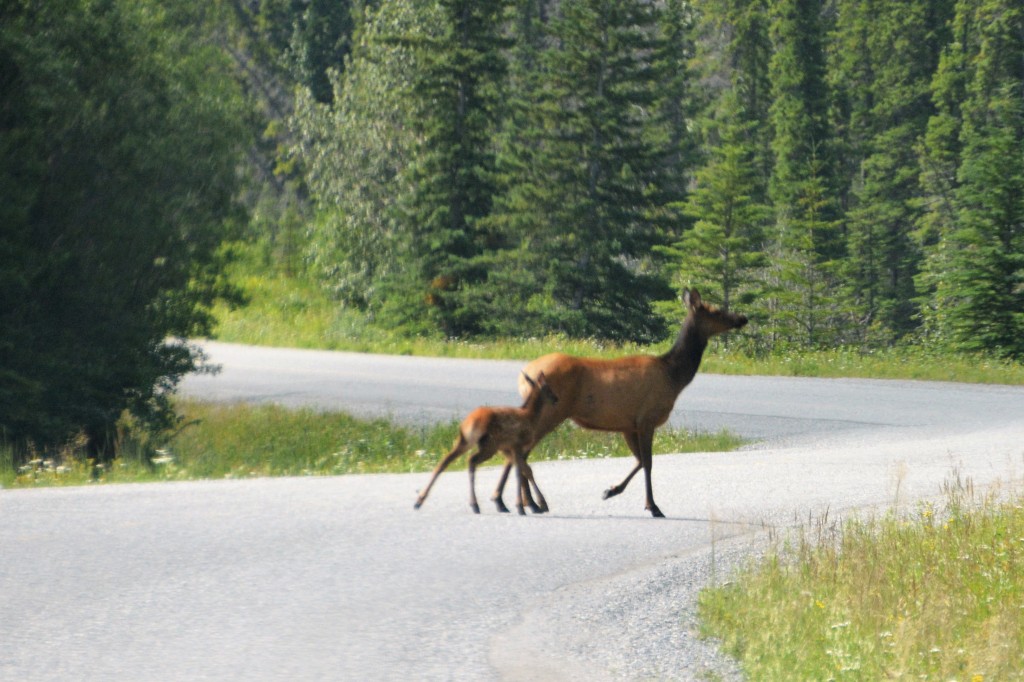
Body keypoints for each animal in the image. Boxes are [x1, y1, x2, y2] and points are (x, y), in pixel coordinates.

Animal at [413, 368, 561, 512]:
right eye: (548, 388)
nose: (556, 399)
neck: (531, 417)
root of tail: (468, 422)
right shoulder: (516, 444)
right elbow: (522, 472)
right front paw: (528, 506)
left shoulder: (507, 448)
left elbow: (525, 470)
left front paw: (536, 505)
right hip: (490, 444)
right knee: (471, 460)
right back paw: (475, 505)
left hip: (465, 441)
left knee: (445, 461)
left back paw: (419, 501)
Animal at [516, 286, 749, 516]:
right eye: (716, 311)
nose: (742, 318)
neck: (673, 376)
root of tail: (524, 375)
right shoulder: (647, 419)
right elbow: (648, 462)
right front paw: (652, 506)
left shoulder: (628, 425)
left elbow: (639, 461)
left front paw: (610, 491)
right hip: (551, 412)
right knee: (522, 452)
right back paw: (534, 504)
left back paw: (529, 503)